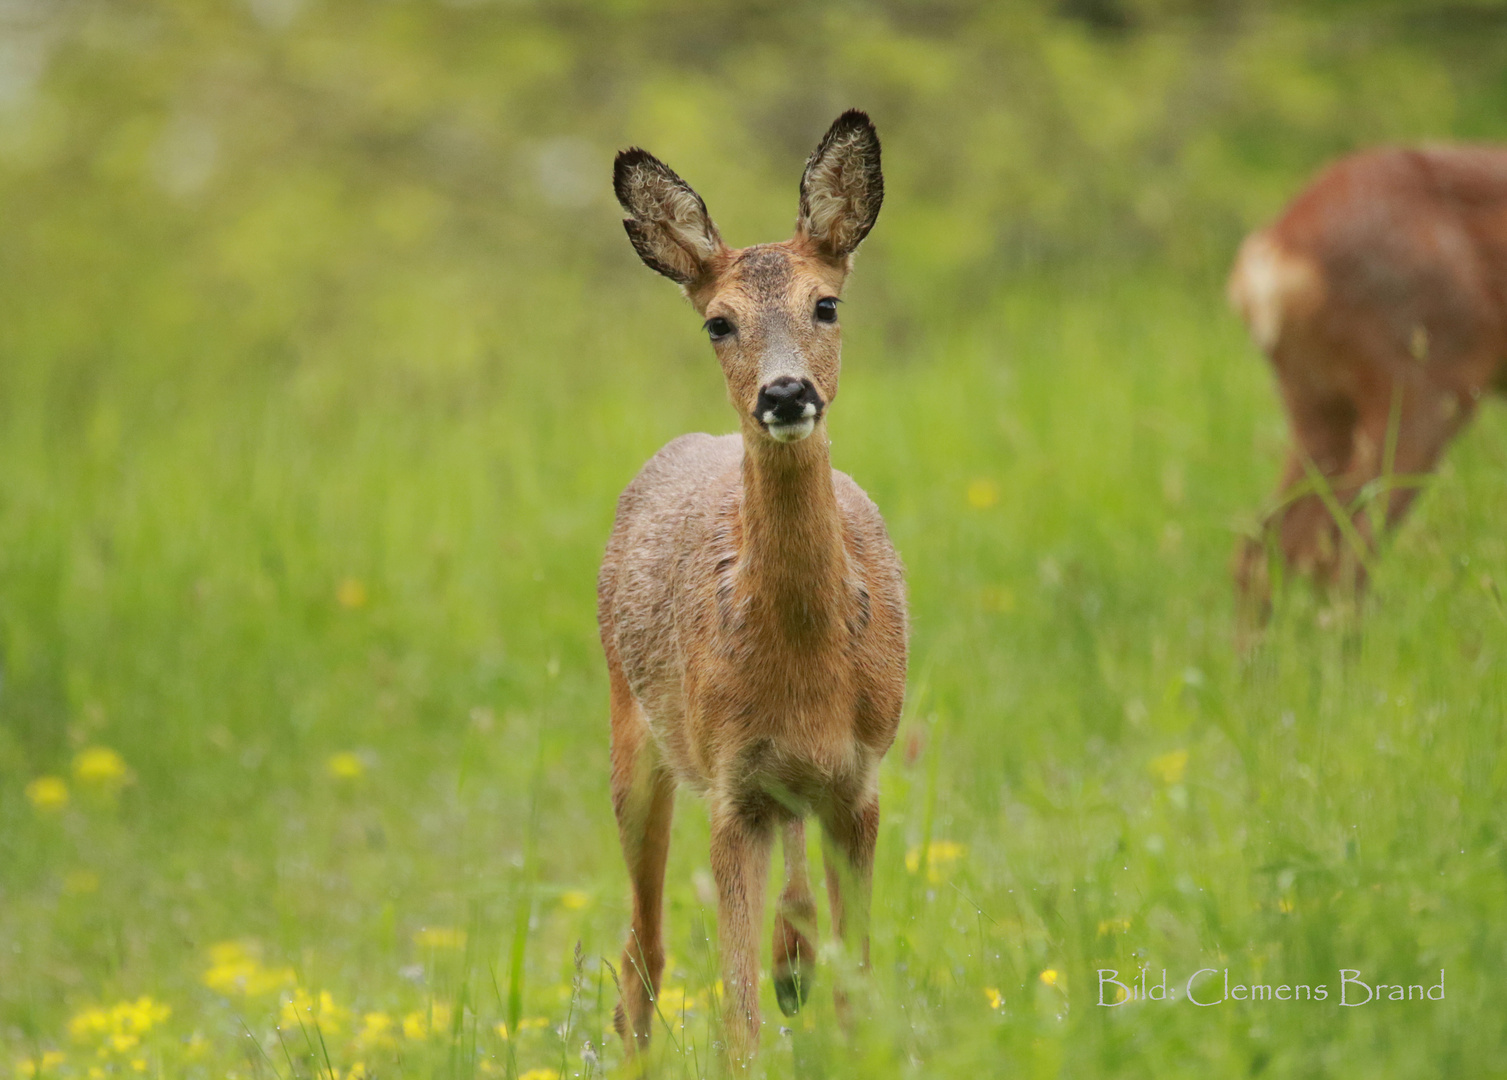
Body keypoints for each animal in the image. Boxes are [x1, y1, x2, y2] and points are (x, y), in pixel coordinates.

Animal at [596, 111, 904, 1060]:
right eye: (717, 323)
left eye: (826, 303)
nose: (785, 393)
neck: (805, 665)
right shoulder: (732, 792)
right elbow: (736, 1015)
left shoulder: (858, 783)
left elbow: (858, 983)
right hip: (637, 743)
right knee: (643, 955)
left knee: (787, 930)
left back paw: (792, 962)